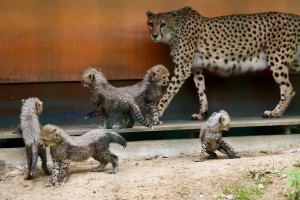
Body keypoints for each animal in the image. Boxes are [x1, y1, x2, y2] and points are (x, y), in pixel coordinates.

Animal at [147, 7, 300, 119]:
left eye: (162, 24)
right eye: (150, 24)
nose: (154, 35)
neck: (174, 30)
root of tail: (294, 16)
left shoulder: (183, 68)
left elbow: (168, 93)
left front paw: (157, 112)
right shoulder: (196, 67)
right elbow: (201, 91)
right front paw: (202, 114)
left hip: (277, 60)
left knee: (288, 90)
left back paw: (275, 113)